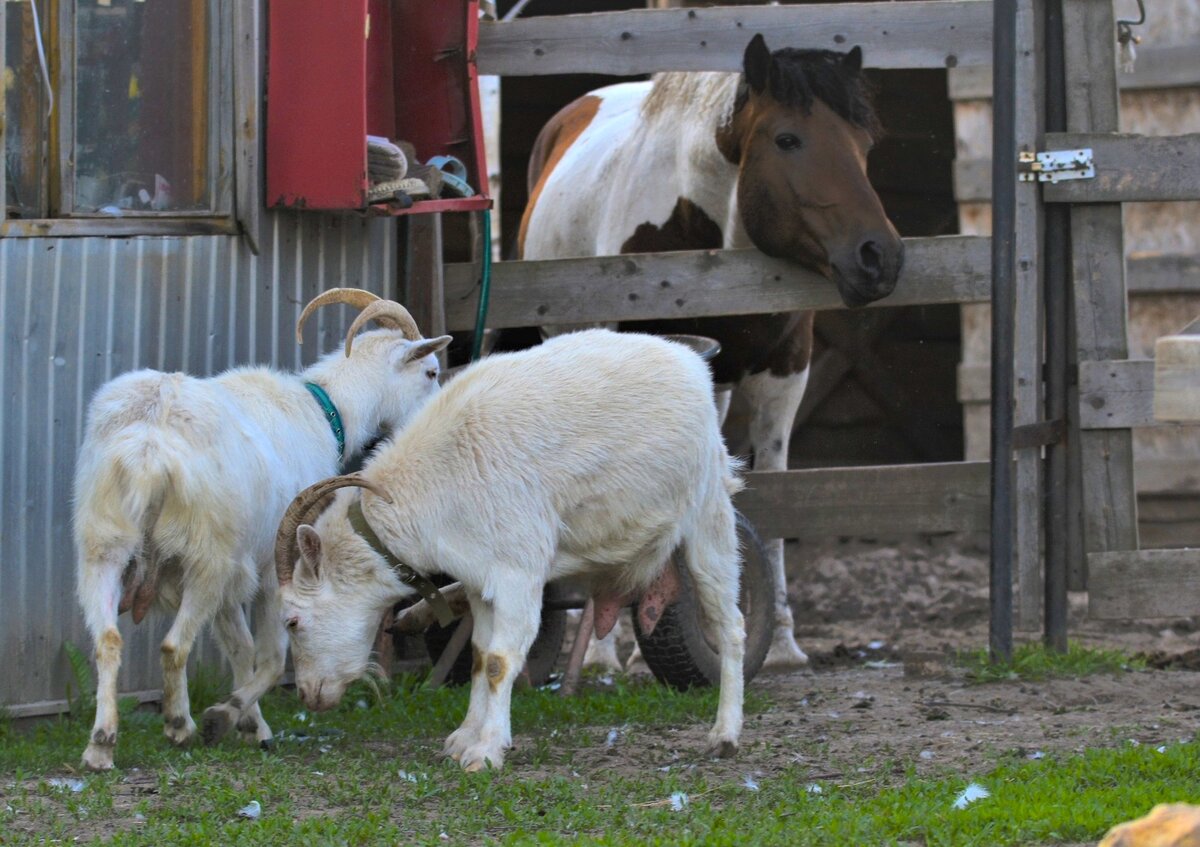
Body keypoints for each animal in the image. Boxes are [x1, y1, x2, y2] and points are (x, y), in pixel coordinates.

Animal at [75, 286, 451, 767]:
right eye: (431, 370)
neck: (324, 409)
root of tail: (149, 446)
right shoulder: (274, 567)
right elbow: (269, 658)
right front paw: (230, 721)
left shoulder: (238, 578)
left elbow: (241, 651)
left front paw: (251, 726)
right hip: (206, 556)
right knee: (173, 646)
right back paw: (180, 726)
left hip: (103, 542)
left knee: (107, 640)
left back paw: (100, 744)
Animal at [516, 32, 902, 671]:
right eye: (787, 138)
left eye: (864, 142)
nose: (881, 257)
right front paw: (600, 653)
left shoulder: (785, 372)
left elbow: (774, 493)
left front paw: (783, 642)